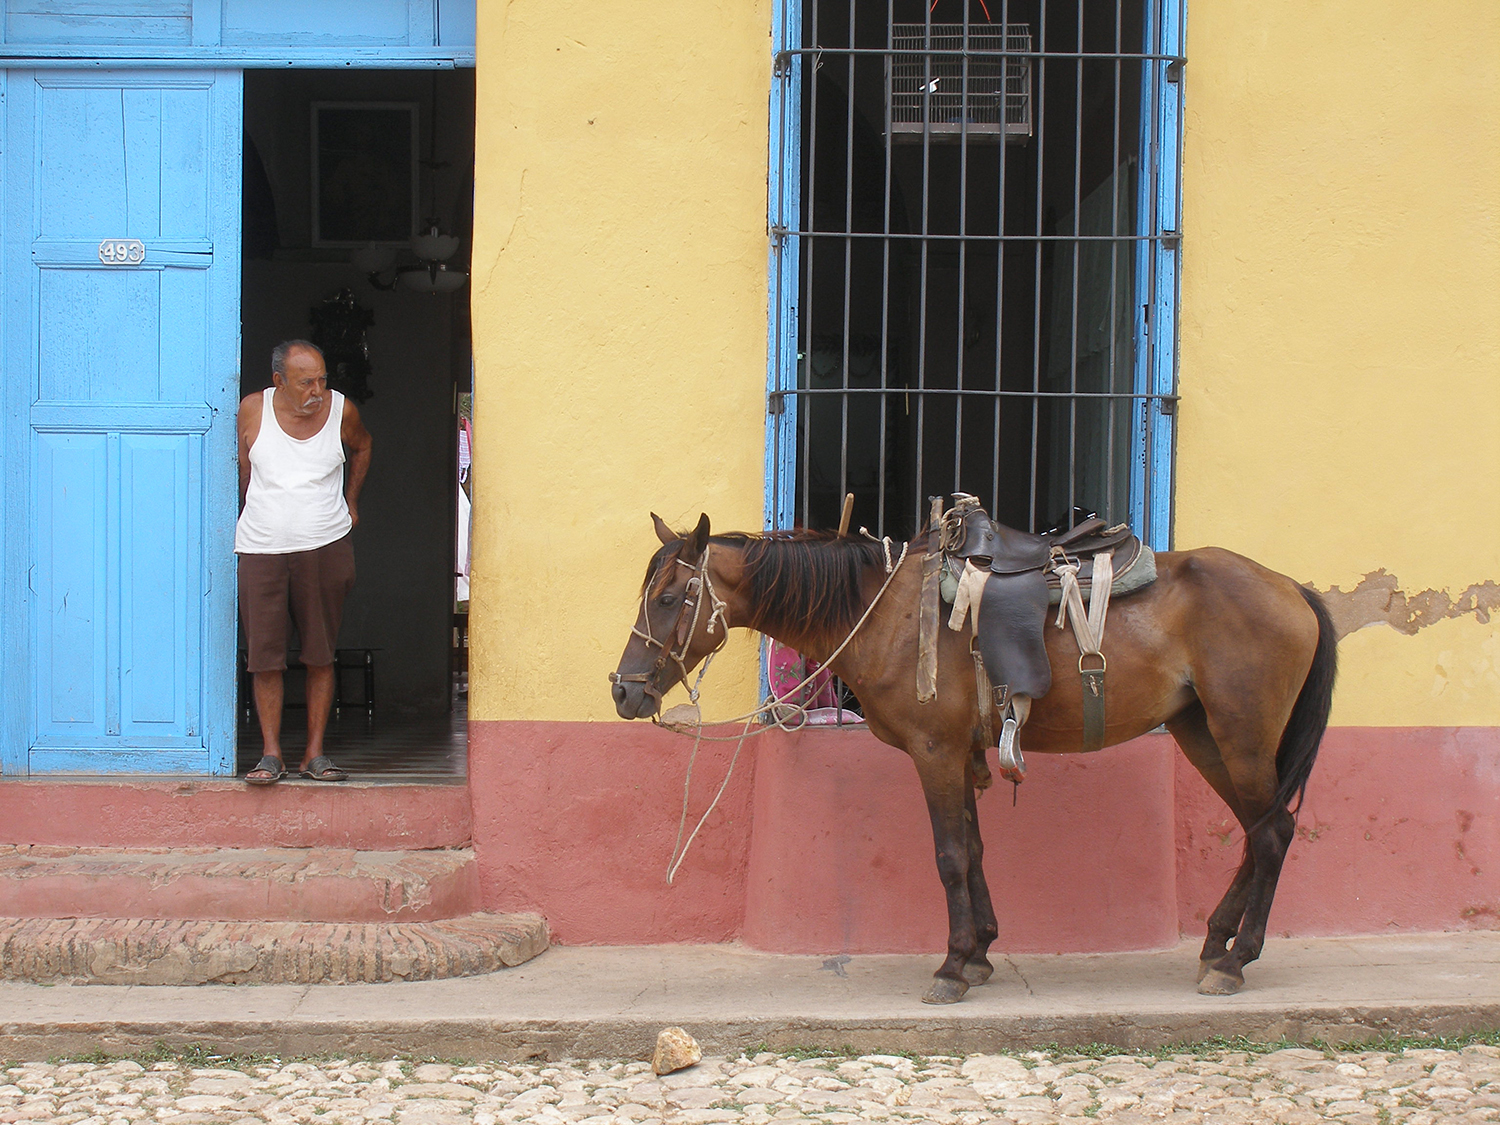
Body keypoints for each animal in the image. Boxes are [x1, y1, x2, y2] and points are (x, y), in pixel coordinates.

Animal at [609, 510, 1338, 1002]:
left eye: (669, 597)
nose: (623, 688)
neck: (888, 615)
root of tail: (1294, 588)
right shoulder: (960, 754)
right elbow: (976, 848)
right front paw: (982, 952)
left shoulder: (934, 752)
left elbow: (950, 855)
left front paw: (952, 965)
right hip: (1204, 734)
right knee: (1257, 830)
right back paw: (1216, 944)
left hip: (1242, 736)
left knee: (1271, 833)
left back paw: (1236, 959)